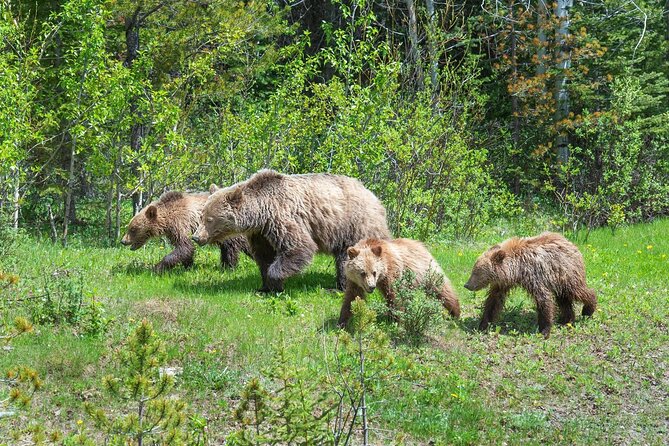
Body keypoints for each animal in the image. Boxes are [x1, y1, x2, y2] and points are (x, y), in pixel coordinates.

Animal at [120, 191, 250, 274]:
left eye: (132, 229)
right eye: (129, 227)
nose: (123, 241)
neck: (167, 219)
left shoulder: (181, 223)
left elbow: (185, 246)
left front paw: (157, 268)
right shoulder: (172, 231)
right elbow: (185, 250)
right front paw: (188, 266)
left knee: (230, 248)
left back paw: (228, 268)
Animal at [190, 169, 392, 290]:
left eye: (209, 219)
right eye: (201, 216)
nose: (196, 237)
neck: (261, 213)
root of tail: (372, 194)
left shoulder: (283, 218)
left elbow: (299, 247)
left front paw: (275, 280)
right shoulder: (261, 233)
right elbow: (264, 256)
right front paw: (264, 287)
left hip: (354, 224)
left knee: (349, 257)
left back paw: (340, 286)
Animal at [462, 230, 596, 338]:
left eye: (476, 272)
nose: (467, 285)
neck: (517, 270)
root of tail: (571, 243)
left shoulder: (534, 276)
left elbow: (543, 299)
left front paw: (544, 330)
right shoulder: (502, 283)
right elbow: (493, 301)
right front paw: (483, 324)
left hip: (566, 273)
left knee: (577, 291)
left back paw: (588, 310)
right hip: (558, 280)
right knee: (563, 299)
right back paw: (566, 319)